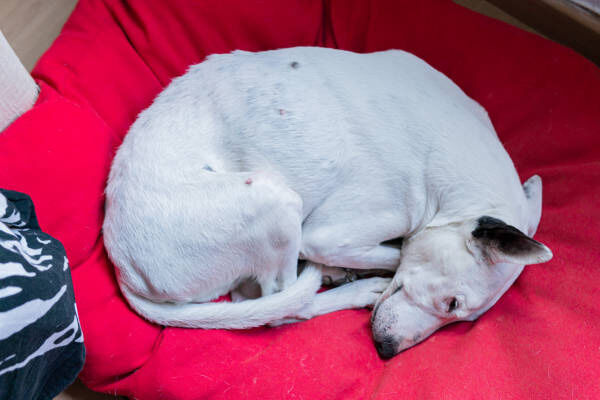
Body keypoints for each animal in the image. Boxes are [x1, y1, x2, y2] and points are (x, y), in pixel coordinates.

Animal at [103, 47, 552, 359]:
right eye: (452, 303)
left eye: (465, 318)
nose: (386, 351)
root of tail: (126, 270)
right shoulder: (330, 235)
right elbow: (395, 252)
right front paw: (367, 268)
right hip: (275, 199)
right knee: (283, 305)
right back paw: (351, 285)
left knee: (257, 300)